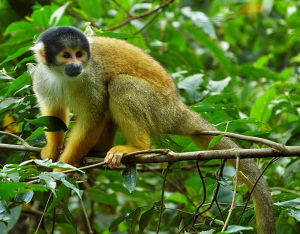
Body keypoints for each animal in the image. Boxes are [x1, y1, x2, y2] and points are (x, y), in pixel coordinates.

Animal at [31, 26, 276, 233]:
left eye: (79, 54)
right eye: (66, 55)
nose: (76, 65)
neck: (61, 74)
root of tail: (177, 107)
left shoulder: (90, 78)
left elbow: (93, 117)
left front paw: (60, 171)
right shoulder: (41, 76)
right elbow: (53, 112)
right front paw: (52, 151)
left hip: (159, 108)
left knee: (119, 85)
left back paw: (137, 148)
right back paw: (100, 149)